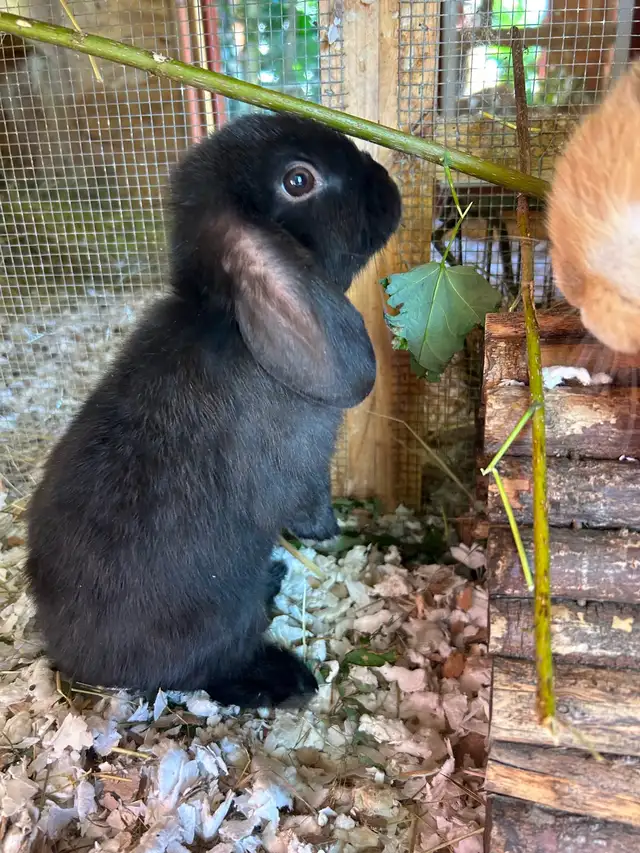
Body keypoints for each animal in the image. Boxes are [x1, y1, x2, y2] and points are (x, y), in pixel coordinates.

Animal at [25, 112, 402, 709]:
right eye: (299, 180)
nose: (389, 186)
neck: (228, 320)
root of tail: (77, 662)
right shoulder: (301, 469)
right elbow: (307, 500)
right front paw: (327, 530)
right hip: (220, 621)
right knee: (206, 672)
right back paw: (285, 677)